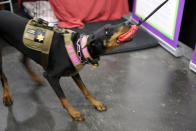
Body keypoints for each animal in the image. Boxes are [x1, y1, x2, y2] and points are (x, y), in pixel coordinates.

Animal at [0, 10, 132, 121]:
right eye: (106, 31)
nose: (129, 22)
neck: (79, 47)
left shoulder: (74, 72)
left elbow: (85, 90)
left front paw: (96, 103)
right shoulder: (51, 76)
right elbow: (64, 98)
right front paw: (73, 113)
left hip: (26, 48)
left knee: (23, 61)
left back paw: (36, 78)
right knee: (4, 76)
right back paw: (7, 96)